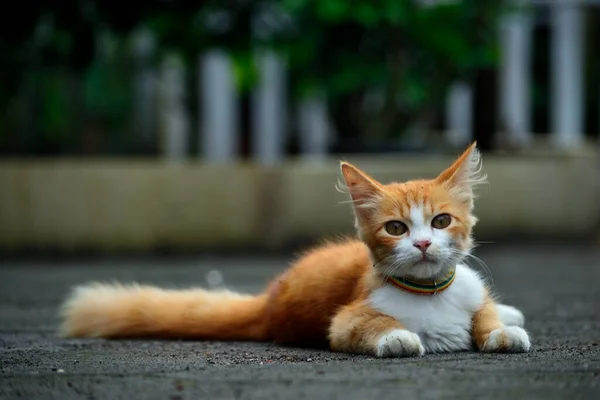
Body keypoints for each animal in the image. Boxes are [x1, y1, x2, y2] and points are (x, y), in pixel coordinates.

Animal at [59, 144, 528, 356]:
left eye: (441, 222)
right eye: (396, 228)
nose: (425, 243)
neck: (431, 292)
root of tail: (269, 301)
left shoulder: (471, 289)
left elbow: (483, 312)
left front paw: (500, 330)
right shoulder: (345, 319)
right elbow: (371, 325)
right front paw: (397, 337)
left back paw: (511, 313)